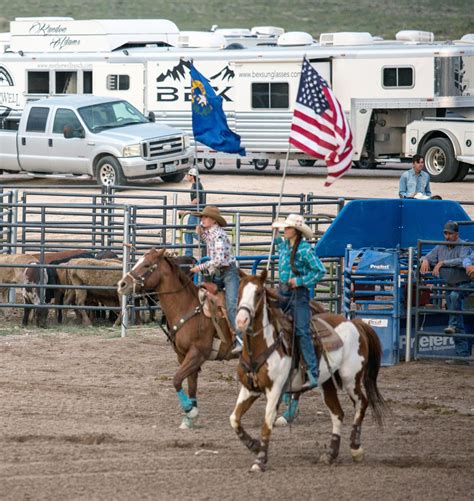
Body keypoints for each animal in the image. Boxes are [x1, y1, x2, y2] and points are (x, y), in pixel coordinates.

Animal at [116, 248, 235, 428]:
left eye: (147, 265)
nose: (121, 284)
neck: (187, 307)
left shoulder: (197, 353)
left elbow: (176, 379)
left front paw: (189, 410)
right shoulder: (184, 355)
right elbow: (191, 384)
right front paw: (190, 416)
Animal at [231, 270, 388, 468]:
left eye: (258, 293)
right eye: (239, 292)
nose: (241, 320)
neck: (262, 345)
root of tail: (355, 323)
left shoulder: (274, 390)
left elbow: (266, 424)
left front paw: (260, 460)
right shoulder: (249, 389)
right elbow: (234, 419)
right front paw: (254, 444)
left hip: (351, 377)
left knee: (362, 403)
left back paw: (355, 448)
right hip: (327, 382)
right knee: (337, 413)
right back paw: (330, 454)